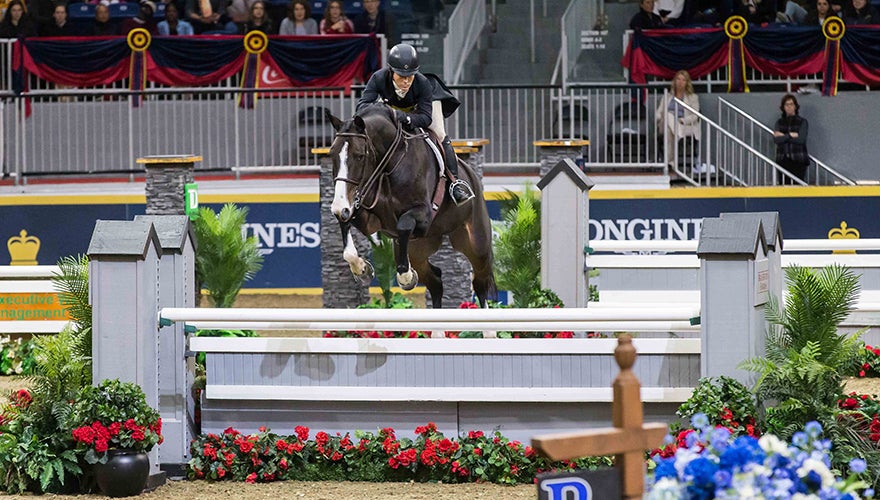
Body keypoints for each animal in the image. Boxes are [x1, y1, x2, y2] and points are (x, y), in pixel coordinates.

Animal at [328, 104, 496, 308]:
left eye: (359, 156)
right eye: (331, 154)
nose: (338, 208)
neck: (388, 165)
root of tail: (474, 177)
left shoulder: (423, 214)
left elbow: (404, 224)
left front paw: (406, 277)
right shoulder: (367, 216)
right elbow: (348, 234)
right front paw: (363, 269)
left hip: (476, 244)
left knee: (480, 283)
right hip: (419, 250)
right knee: (436, 282)